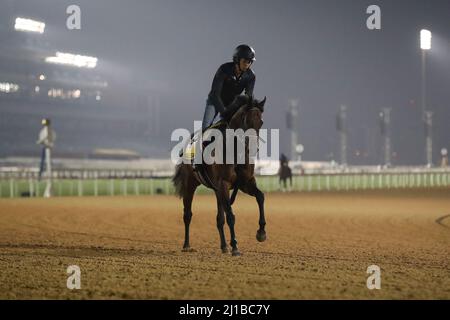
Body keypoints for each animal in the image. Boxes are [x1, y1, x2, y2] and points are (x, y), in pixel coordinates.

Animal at [171, 96, 264, 256]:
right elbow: (231, 216)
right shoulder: (224, 184)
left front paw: (261, 232)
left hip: (217, 191)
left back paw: (224, 246)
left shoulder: (246, 183)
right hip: (191, 185)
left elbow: (260, 197)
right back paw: (187, 245)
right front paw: (235, 246)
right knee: (187, 215)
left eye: (261, 122)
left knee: (219, 219)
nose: (253, 148)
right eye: (246, 120)